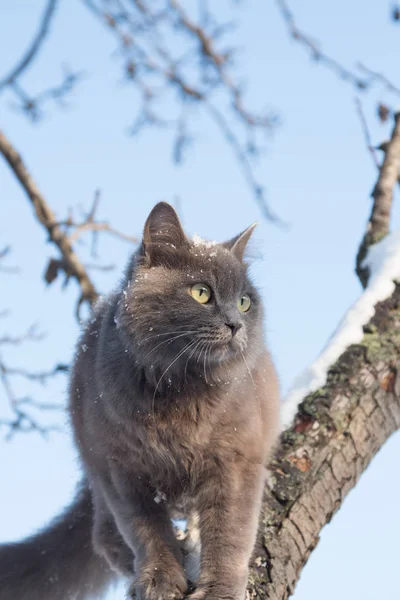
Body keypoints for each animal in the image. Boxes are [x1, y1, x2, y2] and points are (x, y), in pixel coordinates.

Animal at [0, 203, 280, 600]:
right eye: (201, 293)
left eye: (244, 302)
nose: (234, 324)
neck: (178, 390)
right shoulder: (122, 468)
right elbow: (147, 533)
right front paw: (160, 578)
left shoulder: (236, 461)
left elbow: (230, 533)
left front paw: (219, 589)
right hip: (95, 466)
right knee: (104, 535)